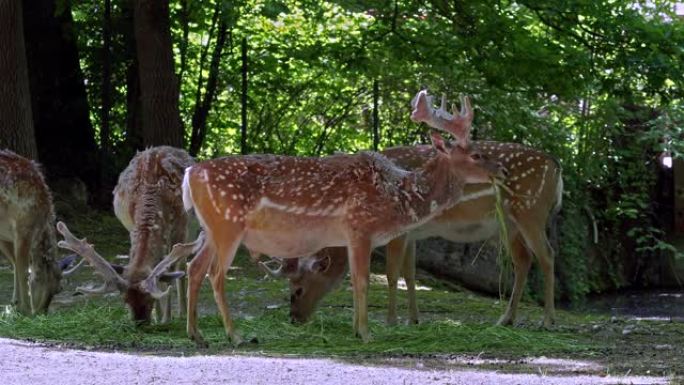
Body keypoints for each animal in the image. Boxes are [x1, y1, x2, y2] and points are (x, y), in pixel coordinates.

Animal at [0, 148, 80, 314]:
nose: (41, 313)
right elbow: (23, 269)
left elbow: (14, 263)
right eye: (58, 288)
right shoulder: (23, 227)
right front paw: (24, 310)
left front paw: (13, 305)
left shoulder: (4, 234)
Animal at [55, 146, 195, 322]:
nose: (140, 322)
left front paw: (167, 318)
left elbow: (171, 268)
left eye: (149, 299)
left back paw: (182, 312)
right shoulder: (131, 226)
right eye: (125, 300)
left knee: (181, 265)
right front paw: (159, 317)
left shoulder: (180, 226)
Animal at [144, 91, 504, 344]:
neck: (395, 197)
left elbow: (355, 282)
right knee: (215, 274)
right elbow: (361, 281)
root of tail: (190, 174)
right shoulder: (359, 228)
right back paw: (235, 335)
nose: (500, 171)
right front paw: (366, 333)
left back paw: (197, 335)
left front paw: (359, 329)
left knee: (194, 268)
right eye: (475, 154)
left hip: (211, 228)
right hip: (228, 225)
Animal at [276, 91, 560, 328]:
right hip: (509, 224)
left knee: (547, 256)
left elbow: (392, 273)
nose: (294, 318)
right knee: (523, 260)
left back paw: (547, 321)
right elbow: (409, 274)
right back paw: (506, 319)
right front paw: (414, 319)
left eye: (297, 288)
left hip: (531, 210)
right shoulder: (412, 233)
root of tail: (555, 166)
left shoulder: (399, 231)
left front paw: (390, 321)